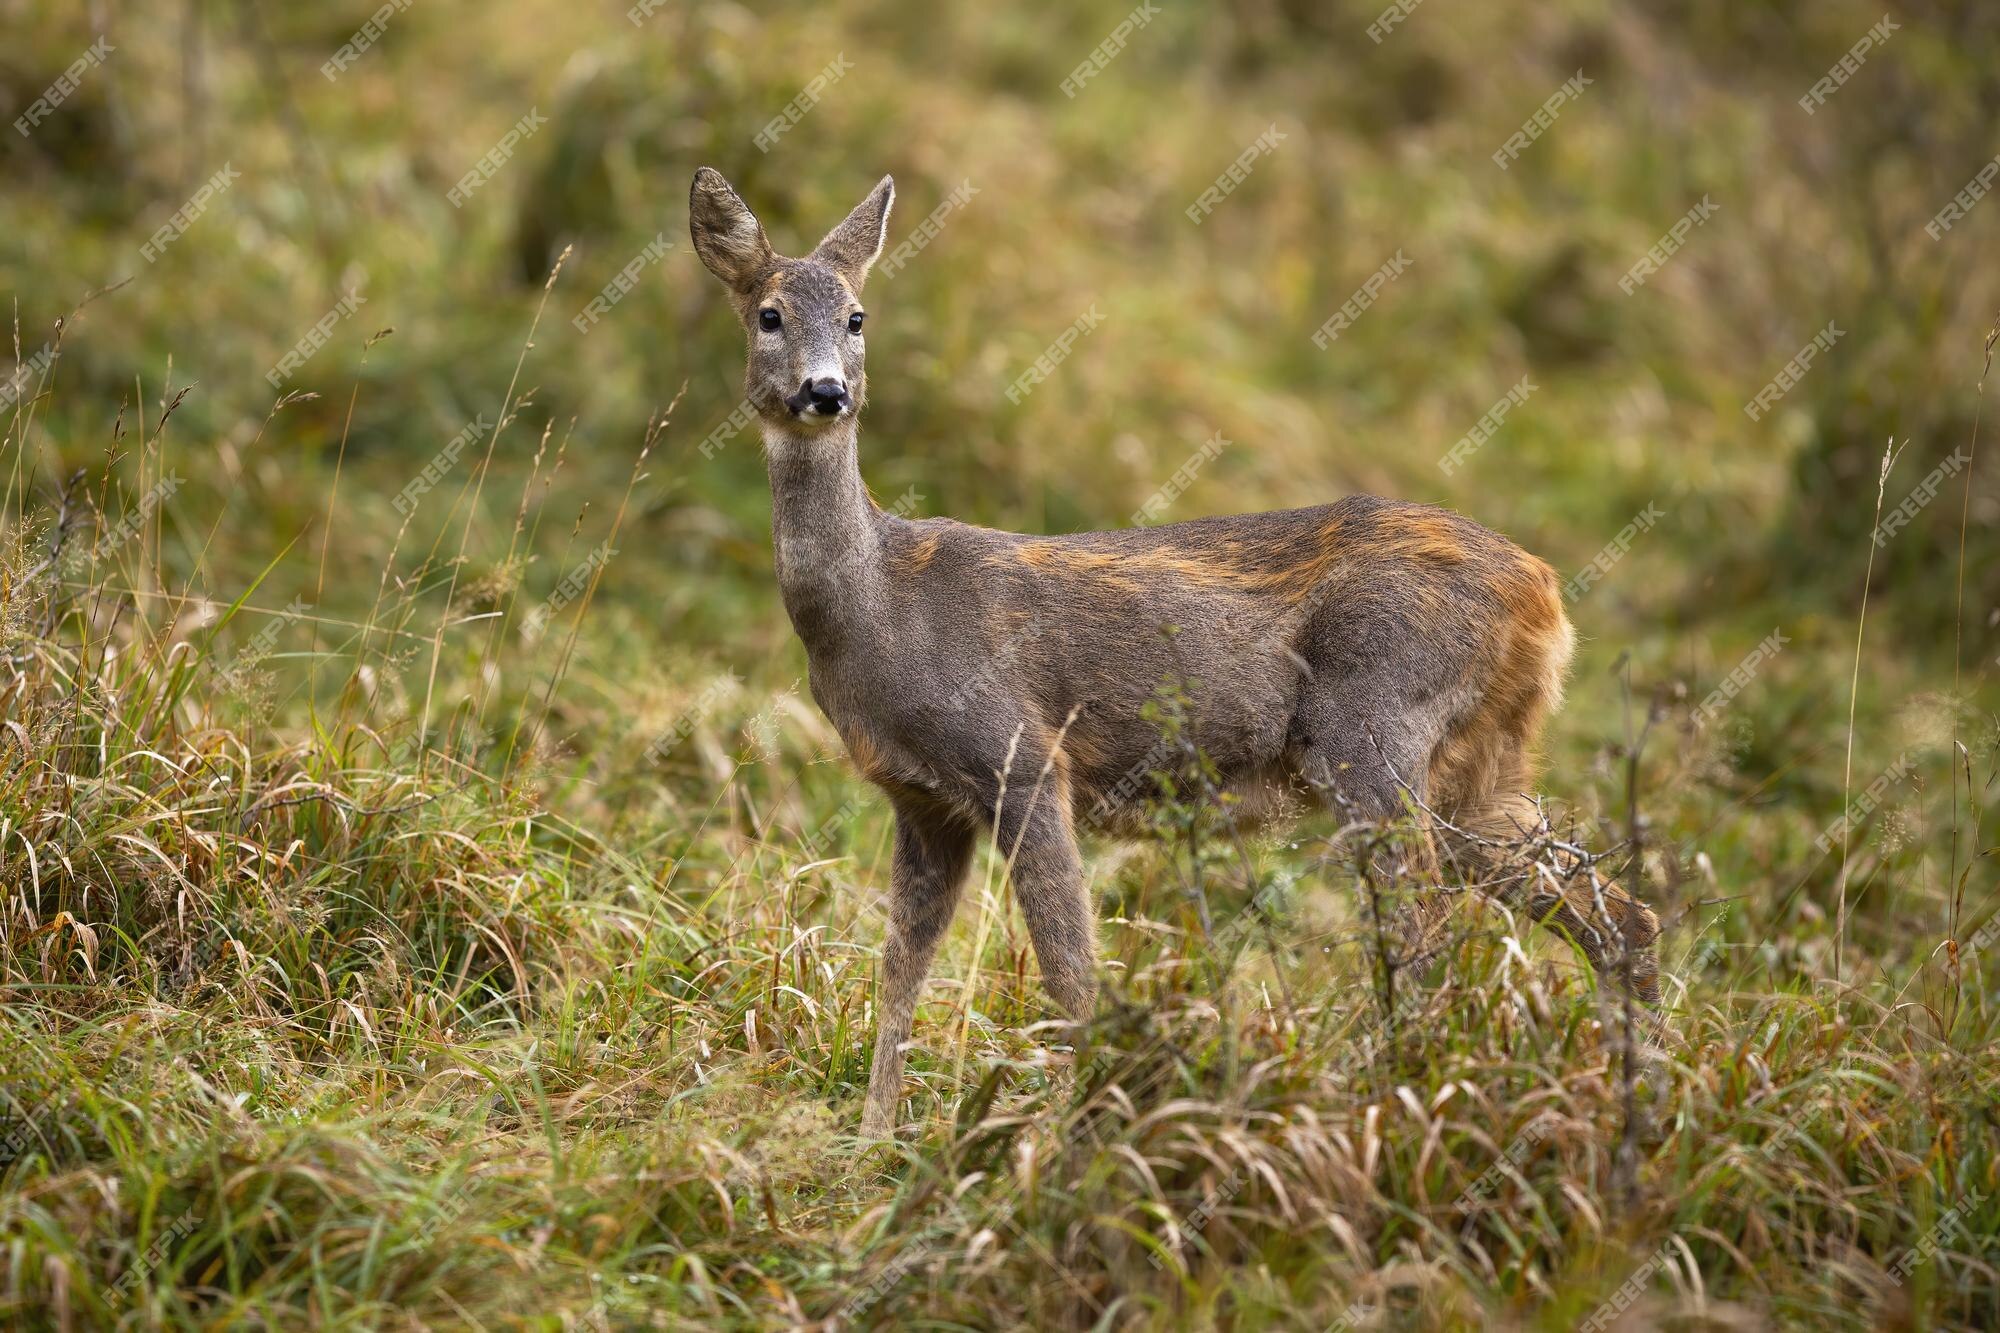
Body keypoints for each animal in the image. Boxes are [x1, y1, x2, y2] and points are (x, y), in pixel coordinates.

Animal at [696, 166, 1664, 1136]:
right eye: (769, 313)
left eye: (857, 316)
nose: (826, 392)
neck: (883, 609)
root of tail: (1546, 594)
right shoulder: (921, 798)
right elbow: (900, 970)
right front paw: (873, 1140)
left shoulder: (1022, 754)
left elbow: (1070, 972)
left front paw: (1071, 1125)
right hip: (1482, 766)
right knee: (1617, 914)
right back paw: (1642, 1094)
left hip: (1378, 718)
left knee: (1423, 923)